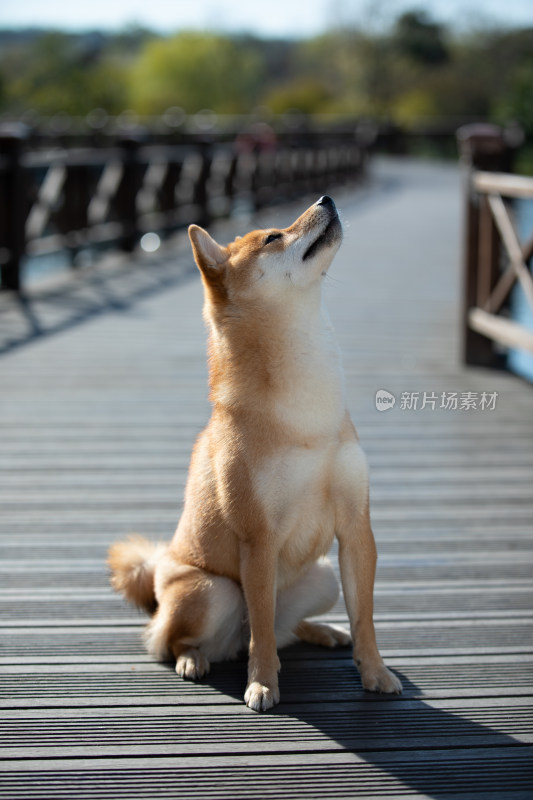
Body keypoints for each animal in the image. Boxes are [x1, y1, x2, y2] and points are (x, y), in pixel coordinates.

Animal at [108, 197, 400, 708]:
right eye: (272, 238)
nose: (326, 199)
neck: (307, 412)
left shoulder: (355, 528)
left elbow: (363, 616)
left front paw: (375, 671)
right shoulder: (259, 540)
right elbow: (260, 633)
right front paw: (262, 682)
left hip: (322, 575)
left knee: (284, 628)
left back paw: (322, 631)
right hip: (213, 590)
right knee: (176, 639)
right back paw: (192, 659)